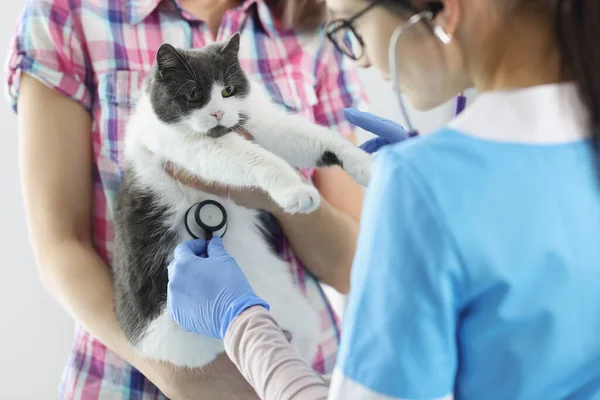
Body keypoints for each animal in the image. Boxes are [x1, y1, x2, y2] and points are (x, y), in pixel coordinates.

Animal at [112, 32, 370, 370]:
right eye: (193, 94)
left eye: (228, 90)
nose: (218, 113)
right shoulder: (186, 146)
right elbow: (254, 157)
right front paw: (296, 190)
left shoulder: (259, 119)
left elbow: (309, 136)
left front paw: (365, 164)